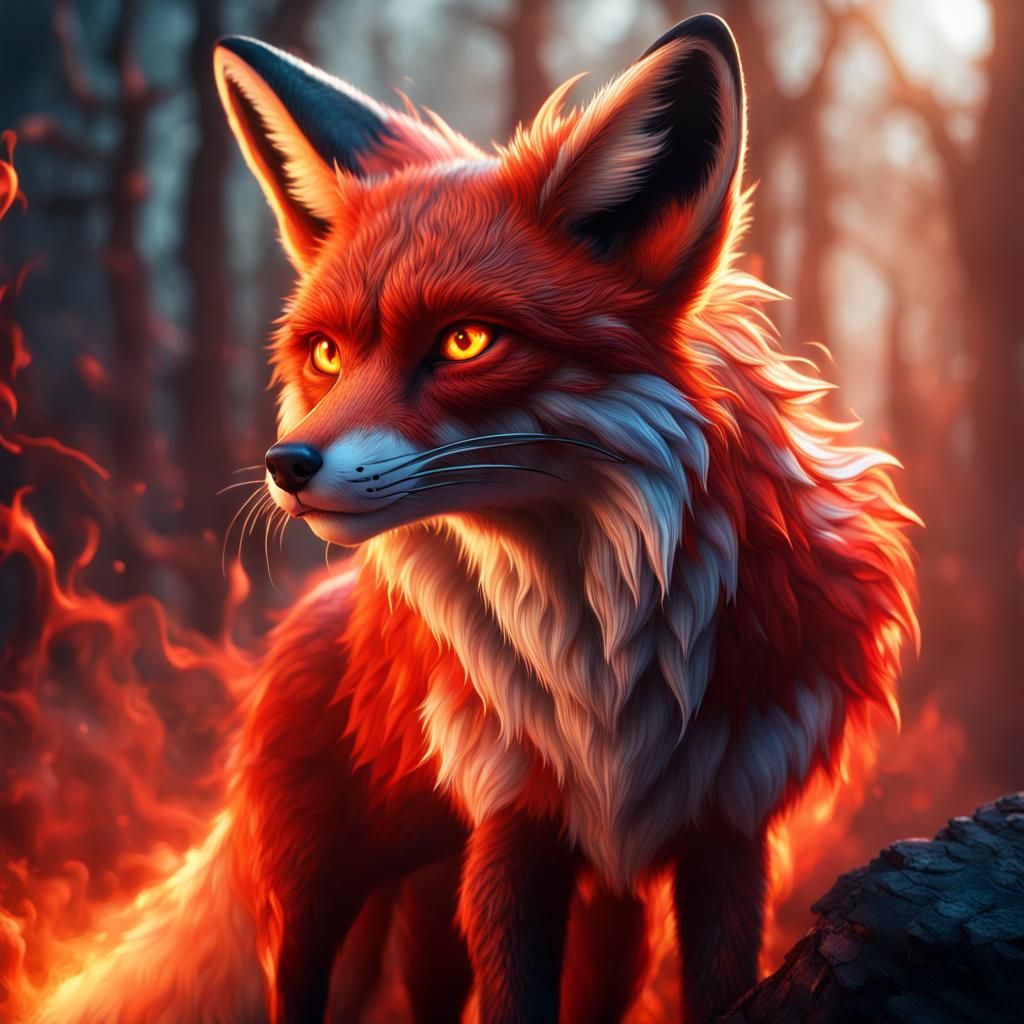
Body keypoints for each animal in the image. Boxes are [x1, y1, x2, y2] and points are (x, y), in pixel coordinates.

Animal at [32, 13, 918, 1024]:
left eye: (464, 341)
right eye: (327, 353)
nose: (286, 468)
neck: (601, 657)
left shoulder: (725, 822)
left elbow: (718, 983)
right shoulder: (512, 815)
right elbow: (512, 994)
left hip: (548, 903)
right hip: (319, 892)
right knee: (305, 985)